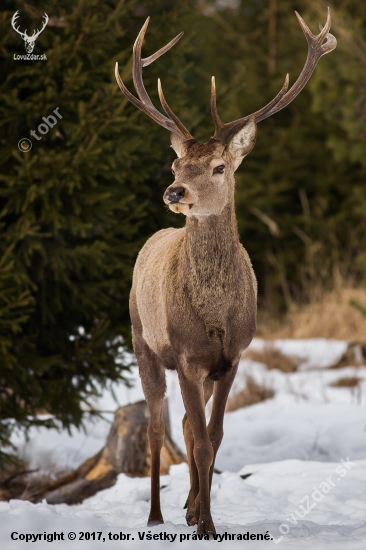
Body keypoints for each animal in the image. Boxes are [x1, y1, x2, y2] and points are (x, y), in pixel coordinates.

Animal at [116, 8, 336, 536]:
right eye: (176, 162)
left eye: (219, 167)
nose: (175, 191)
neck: (216, 313)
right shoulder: (186, 356)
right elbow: (197, 440)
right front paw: (206, 525)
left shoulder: (233, 356)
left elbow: (212, 438)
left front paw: (203, 517)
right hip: (141, 341)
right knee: (156, 427)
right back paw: (155, 515)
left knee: (180, 426)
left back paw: (187, 504)